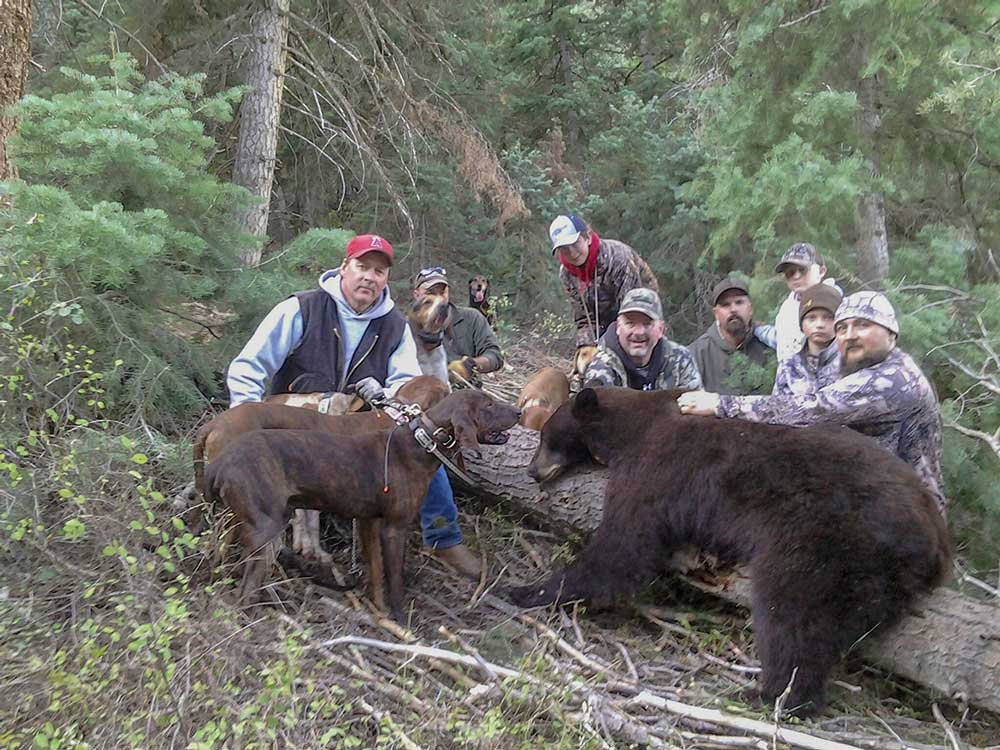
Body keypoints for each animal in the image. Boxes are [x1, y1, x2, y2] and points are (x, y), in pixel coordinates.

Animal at [509, 387, 951, 717]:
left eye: (547, 436)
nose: (531, 470)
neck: (631, 427)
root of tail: (935, 538)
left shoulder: (657, 466)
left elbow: (623, 547)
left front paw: (527, 591)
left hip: (832, 538)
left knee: (792, 610)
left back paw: (771, 694)